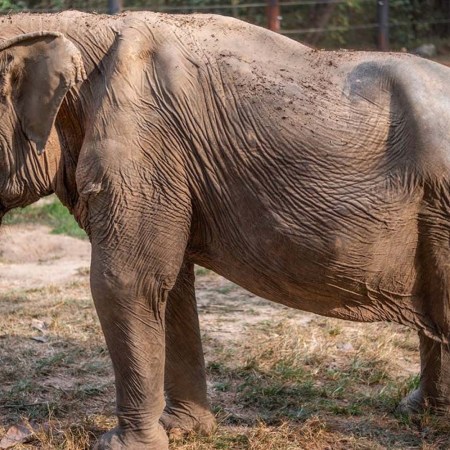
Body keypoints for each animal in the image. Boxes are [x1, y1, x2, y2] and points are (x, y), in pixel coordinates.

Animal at [0, 10, 450, 450]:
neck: (74, 26)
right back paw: (419, 413)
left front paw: (120, 445)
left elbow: (126, 281)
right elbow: (170, 287)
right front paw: (184, 430)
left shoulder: (142, 145)